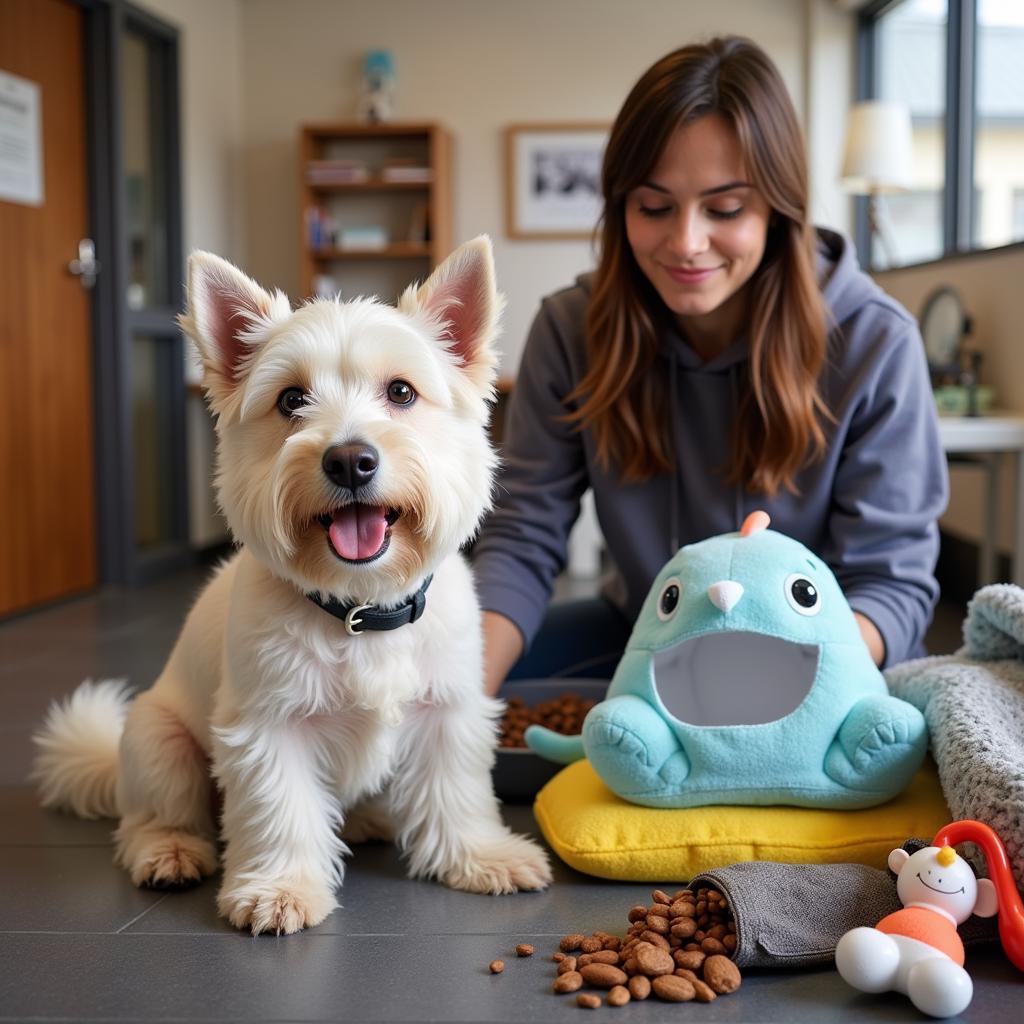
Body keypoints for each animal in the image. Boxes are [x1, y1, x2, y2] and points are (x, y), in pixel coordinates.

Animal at [32, 237, 552, 937]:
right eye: (290, 400)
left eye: (402, 391)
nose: (350, 461)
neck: (359, 606)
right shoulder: (267, 726)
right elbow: (281, 809)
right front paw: (279, 890)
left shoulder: (446, 711)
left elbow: (456, 792)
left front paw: (480, 856)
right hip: (157, 739)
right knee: (153, 816)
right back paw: (169, 852)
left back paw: (367, 820)